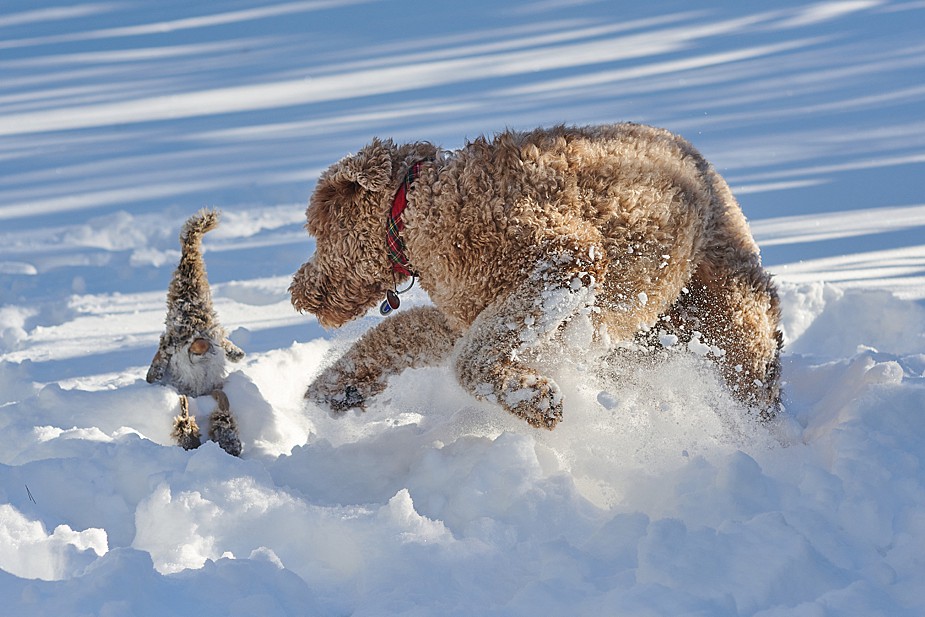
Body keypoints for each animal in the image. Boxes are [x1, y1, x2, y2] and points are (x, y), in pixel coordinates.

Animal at [288, 122, 780, 426]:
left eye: (316, 231)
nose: (299, 292)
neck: (417, 211)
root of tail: (692, 153)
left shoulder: (567, 259)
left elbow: (469, 361)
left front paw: (535, 401)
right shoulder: (465, 316)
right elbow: (401, 334)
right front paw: (336, 389)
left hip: (731, 310)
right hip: (662, 325)